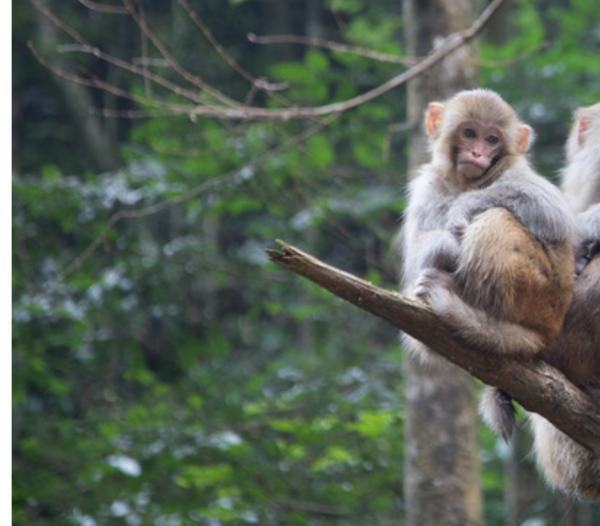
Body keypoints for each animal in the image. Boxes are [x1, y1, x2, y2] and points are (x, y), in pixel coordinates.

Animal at [400, 91, 576, 370]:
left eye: (492, 139)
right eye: (469, 133)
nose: (477, 152)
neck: (467, 183)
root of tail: (547, 333)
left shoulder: (514, 169)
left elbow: (552, 211)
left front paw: (463, 205)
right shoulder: (428, 185)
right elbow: (419, 248)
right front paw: (442, 245)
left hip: (541, 295)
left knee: (496, 219)